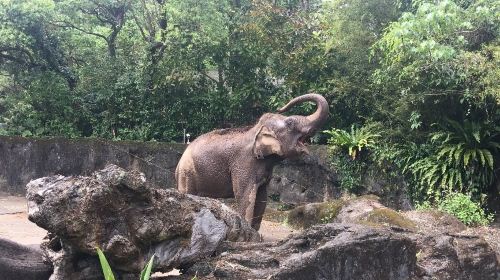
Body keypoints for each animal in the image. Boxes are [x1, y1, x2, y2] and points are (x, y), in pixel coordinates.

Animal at [176, 94, 328, 230]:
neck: (256, 129)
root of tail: (178, 164)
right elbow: (245, 195)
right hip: (187, 173)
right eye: (290, 123)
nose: (280, 108)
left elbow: (262, 196)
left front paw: (255, 233)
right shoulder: (244, 163)